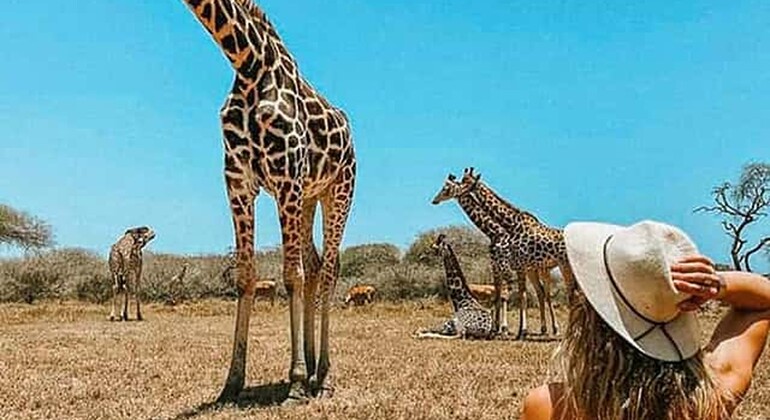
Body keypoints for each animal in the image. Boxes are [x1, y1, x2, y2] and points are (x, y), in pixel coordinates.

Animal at [181, 0, 356, 403]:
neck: (247, 64)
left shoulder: (286, 175)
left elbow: (291, 275)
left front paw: (295, 381)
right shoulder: (238, 181)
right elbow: (246, 276)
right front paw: (231, 383)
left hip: (339, 189)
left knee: (329, 270)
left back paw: (322, 374)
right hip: (308, 198)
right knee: (316, 264)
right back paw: (312, 366)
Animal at [432, 175, 542, 338]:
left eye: (446, 188)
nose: (434, 200)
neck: (495, 232)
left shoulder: (505, 266)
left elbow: (505, 295)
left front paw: (504, 330)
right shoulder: (496, 265)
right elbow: (499, 295)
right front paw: (498, 329)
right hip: (531, 269)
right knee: (540, 292)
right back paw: (543, 330)